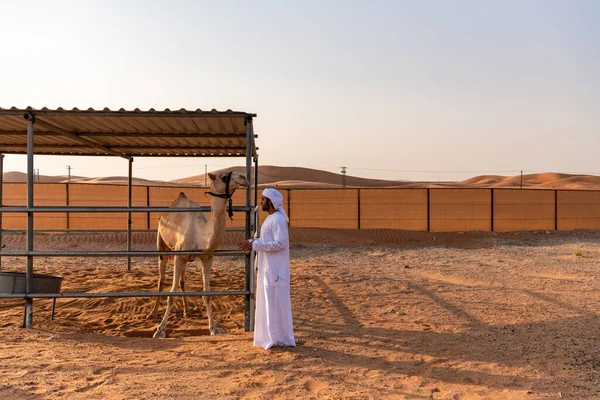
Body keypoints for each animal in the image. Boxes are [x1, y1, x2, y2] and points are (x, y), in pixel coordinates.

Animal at [150, 170, 248, 338]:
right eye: (223, 177)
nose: (244, 177)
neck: (200, 233)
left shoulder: (207, 257)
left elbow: (207, 294)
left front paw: (214, 328)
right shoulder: (179, 257)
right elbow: (172, 294)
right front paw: (160, 330)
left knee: (182, 281)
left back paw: (186, 311)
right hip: (162, 246)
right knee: (161, 280)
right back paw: (154, 313)